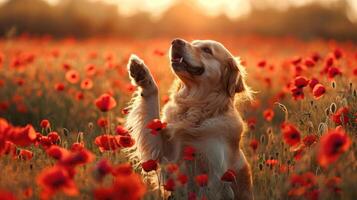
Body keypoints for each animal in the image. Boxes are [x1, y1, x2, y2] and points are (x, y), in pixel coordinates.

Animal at [125, 38, 253, 199]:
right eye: (194, 43)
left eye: (207, 50)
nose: (176, 41)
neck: (196, 109)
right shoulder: (165, 152)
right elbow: (152, 104)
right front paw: (142, 73)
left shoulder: (216, 173)